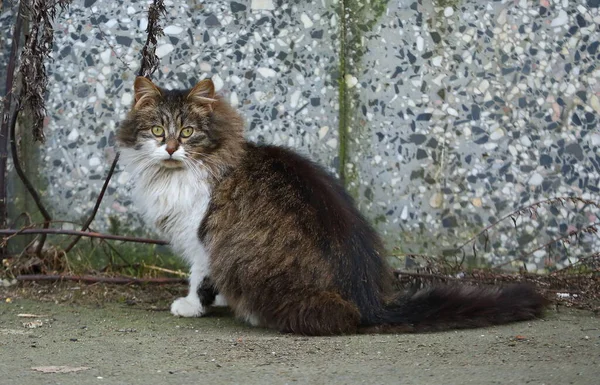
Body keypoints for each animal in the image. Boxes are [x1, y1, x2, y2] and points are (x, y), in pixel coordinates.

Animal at [115, 76, 548, 334]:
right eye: (157, 130)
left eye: (188, 132)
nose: (171, 148)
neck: (178, 174)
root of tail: (369, 302)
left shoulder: (203, 236)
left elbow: (200, 276)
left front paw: (192, 305)